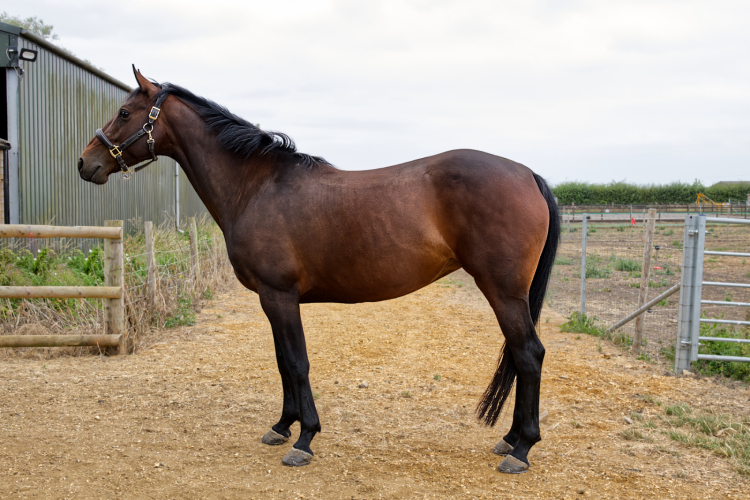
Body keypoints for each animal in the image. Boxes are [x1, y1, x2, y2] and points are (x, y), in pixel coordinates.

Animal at [78, 66, 559, 473]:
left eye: (124, 112)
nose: (86, 163)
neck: (256, 186)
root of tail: (527, 174)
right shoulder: (271, 299)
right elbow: (281, 362)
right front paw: (281, 426)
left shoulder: (279, 295)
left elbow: (297, 362)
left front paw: (304, 439)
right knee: (521, 356)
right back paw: (510, 439)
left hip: (502, 290)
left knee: (529, 354)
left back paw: (521, 449)